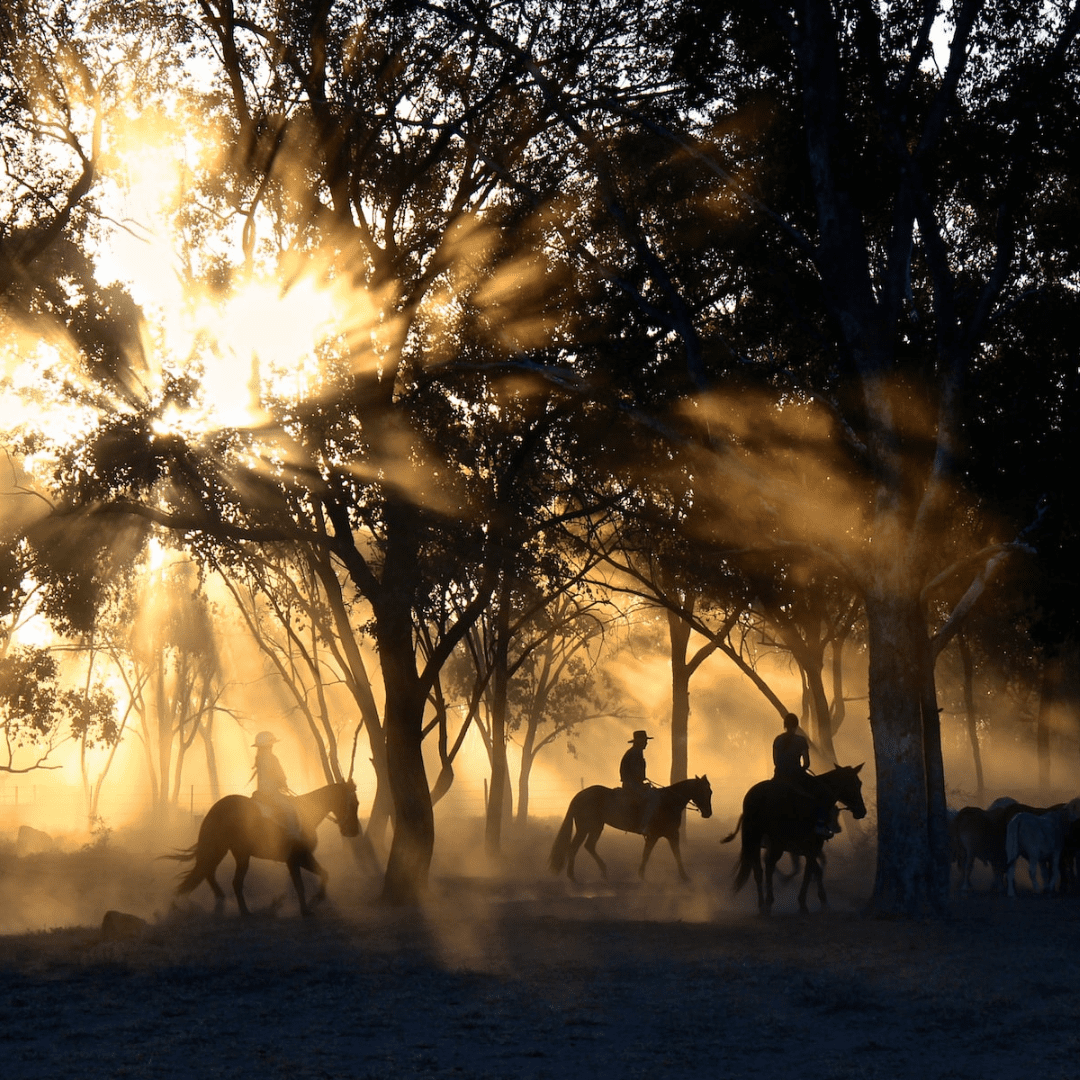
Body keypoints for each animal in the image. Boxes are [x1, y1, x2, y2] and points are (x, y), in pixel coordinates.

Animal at [168, 781, 360, 915]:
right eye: (355, 803)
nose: (354, 831)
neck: (306, 813)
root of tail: (216, 809)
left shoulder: (300, 859)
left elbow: (323, 874)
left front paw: (316, 899)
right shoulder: (296, 859)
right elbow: (301, 884)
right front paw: (307, 908)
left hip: (221, 850)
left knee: (208, 872)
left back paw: (222, 899)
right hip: (240, 855)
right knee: (234, 881)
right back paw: (245, 912)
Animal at [548, 773, 708, 881]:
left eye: (710, 792)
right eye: (704, 791)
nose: (708, 813)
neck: (668, 801)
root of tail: (579, 796)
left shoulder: (668, 834)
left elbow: (667, 853)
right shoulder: (661, 834)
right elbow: (656, 854)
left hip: (595, 827)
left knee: (588, 846)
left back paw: (602, 872)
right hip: (585, 828)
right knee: (575, 847)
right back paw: (573, 877)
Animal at [721, 764, 864, 915]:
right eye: (856, 783)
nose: (862, 811)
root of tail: (759, 796)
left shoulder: (804, 849)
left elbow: (814, 870)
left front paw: (820, 901)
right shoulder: (813, 846)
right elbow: (809, 871)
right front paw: (807, 903)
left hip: (755, 840)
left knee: (758, 870)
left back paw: (762, 905)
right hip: (776, 843)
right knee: (769, 865)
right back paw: (769, 902)